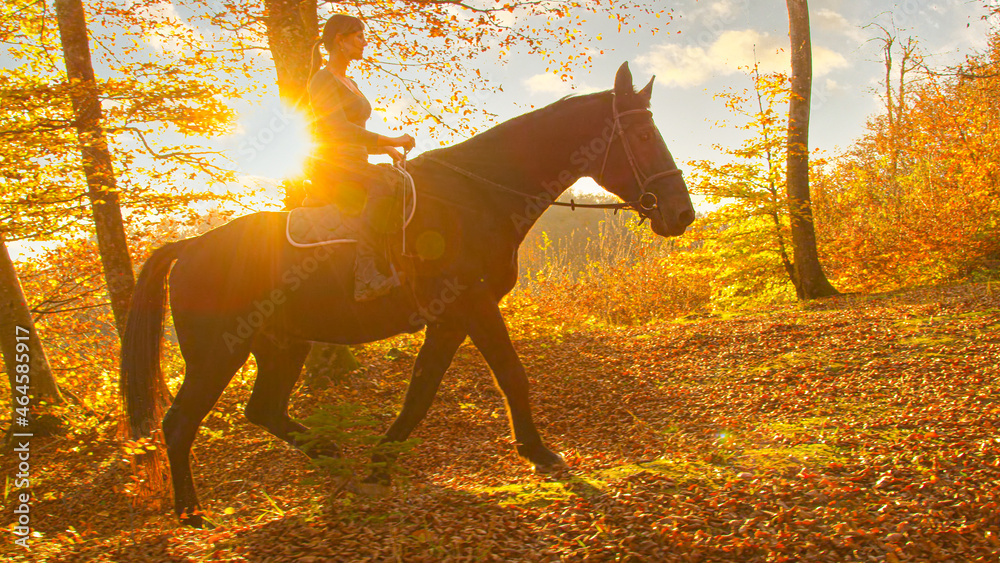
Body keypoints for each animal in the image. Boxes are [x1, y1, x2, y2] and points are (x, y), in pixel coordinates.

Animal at [119, 62, 696, 528]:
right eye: (642, 135)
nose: (681, 213)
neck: (477, 195)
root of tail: (190, 248)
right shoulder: (472, 307)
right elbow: (508, 374)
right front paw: (538, 451)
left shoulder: (454, 318)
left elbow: (422, 392)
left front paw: (380, 465)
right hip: (218, 352)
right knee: (179, 424)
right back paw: (191, 512)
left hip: (282, 345)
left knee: (263, 410)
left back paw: (331, 455)